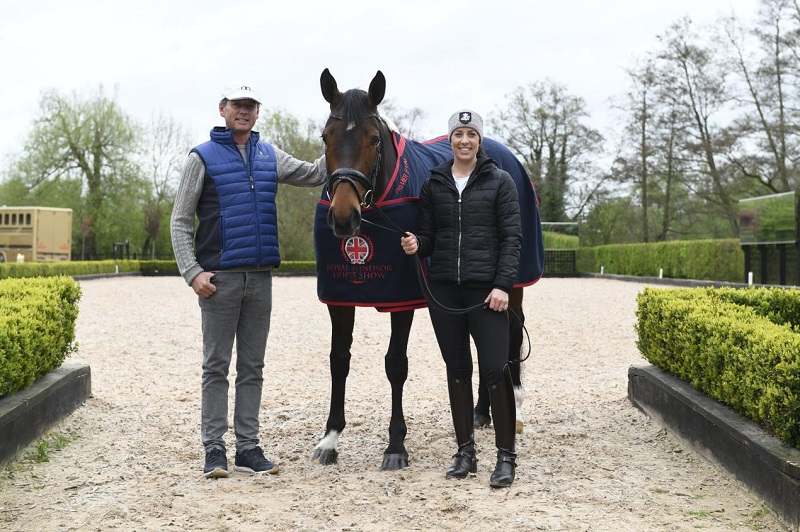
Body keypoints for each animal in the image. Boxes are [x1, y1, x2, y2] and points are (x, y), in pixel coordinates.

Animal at [310, 67, 544, 470]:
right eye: (326, 137)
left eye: (374, 140)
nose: (343, 218)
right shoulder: (340, 299)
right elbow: (339, 361)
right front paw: (330, 438)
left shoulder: (402, 302)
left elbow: (395, 365)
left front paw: (395, 446)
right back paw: (480, 412)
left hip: (511, 286)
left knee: (509, 335)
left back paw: (510, 402)